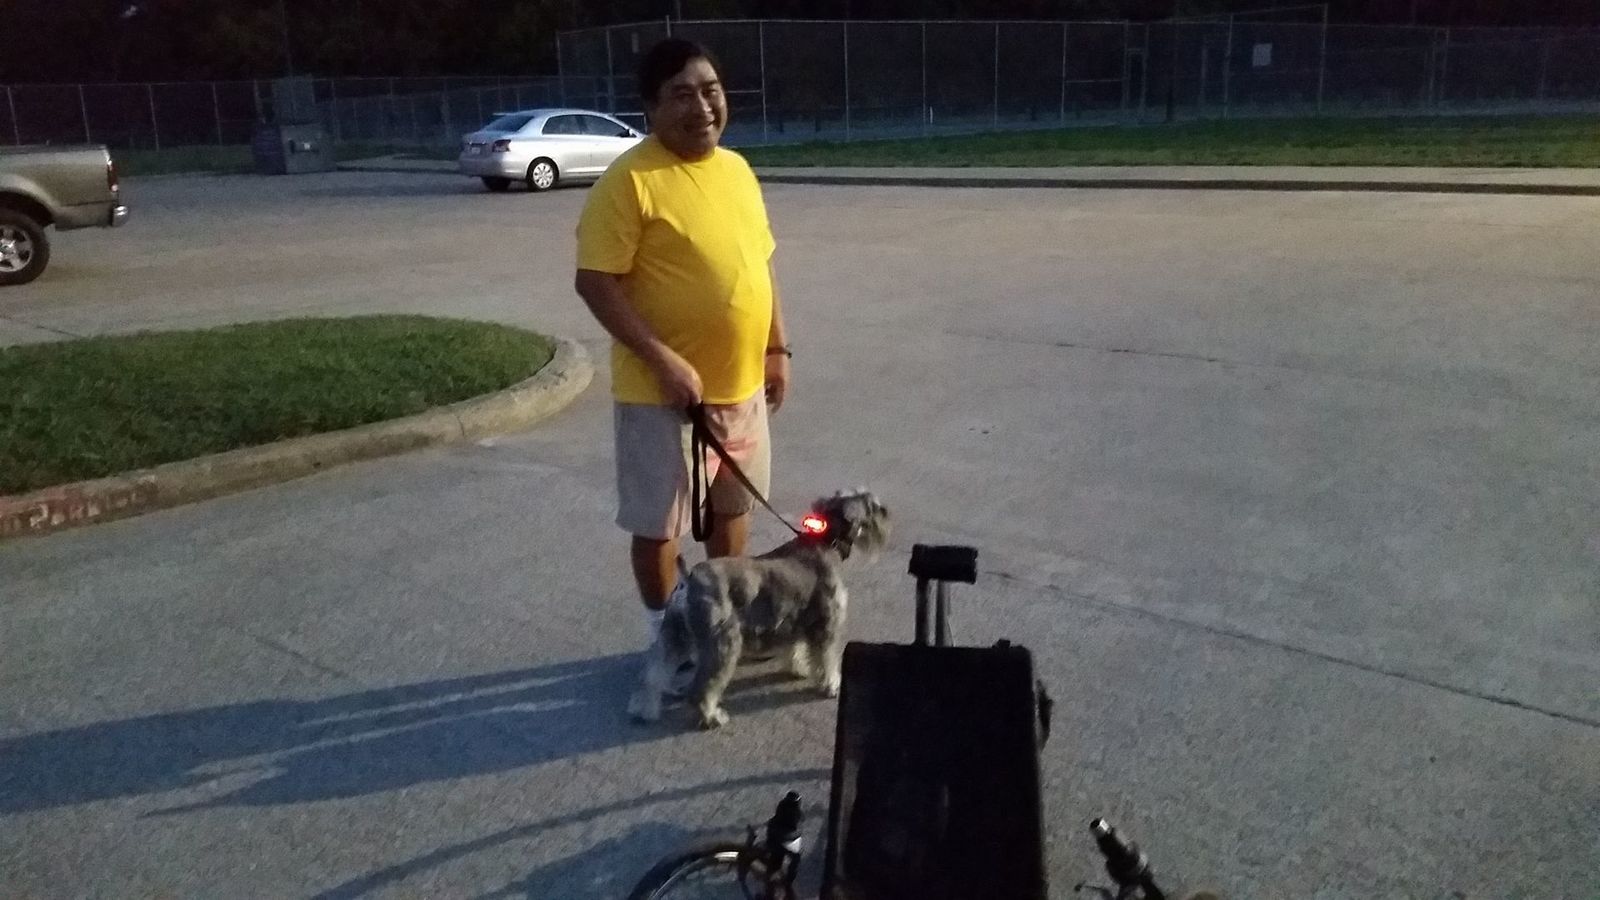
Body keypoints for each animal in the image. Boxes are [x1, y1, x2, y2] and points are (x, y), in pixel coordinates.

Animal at [627, 489, 892, 730]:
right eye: (871, 505)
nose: (886, 511)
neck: (827, 542)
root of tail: (688, 580)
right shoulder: (827, 625)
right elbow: (826, 658)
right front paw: (831, 685)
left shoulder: (792, 620)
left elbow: (794, 649)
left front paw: (797, 669)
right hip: (722, 644)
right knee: (701, 688)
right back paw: (712, 717)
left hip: (675, 637)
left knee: (653, 674)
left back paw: (644, 711)